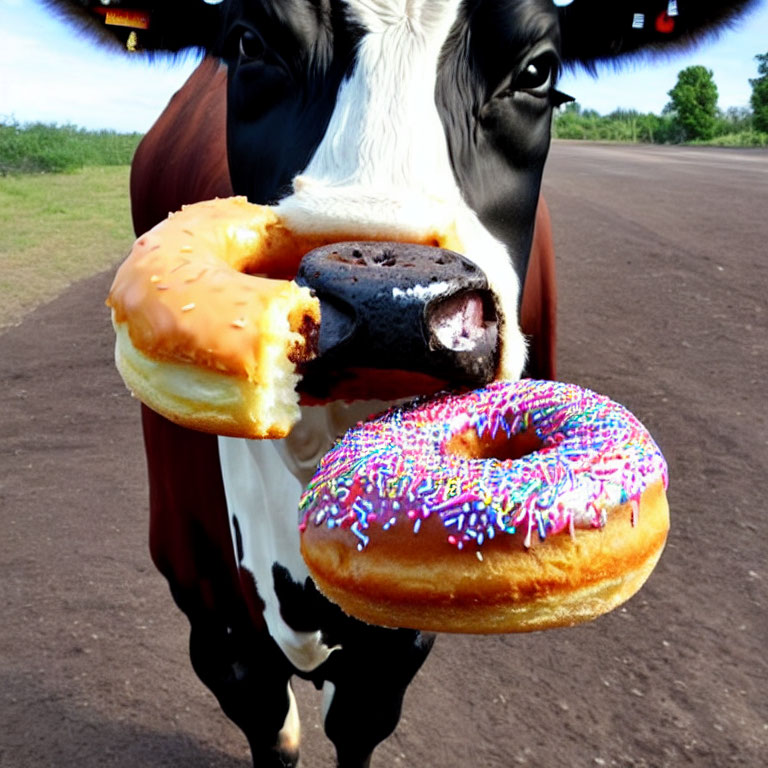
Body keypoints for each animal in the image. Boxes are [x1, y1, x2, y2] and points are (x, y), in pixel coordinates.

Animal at [49, 1, 756, 768]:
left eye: (539, 70)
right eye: (249, 42)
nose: (389, 310)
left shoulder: (397, 640)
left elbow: (359, 722)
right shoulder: (204, 602)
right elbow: (270, 725)